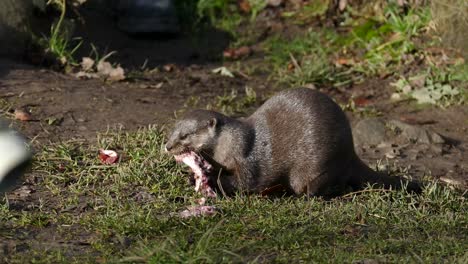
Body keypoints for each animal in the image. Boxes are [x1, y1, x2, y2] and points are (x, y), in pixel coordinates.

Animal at [165, 88, 420, 196]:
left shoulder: (246, 158)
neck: (230, 145)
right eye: (173, 130)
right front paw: (194, 177)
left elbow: (246, 182)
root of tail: (350, 151)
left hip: (314, 167)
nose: (168, 146)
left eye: (185, 135)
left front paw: (215, 182)